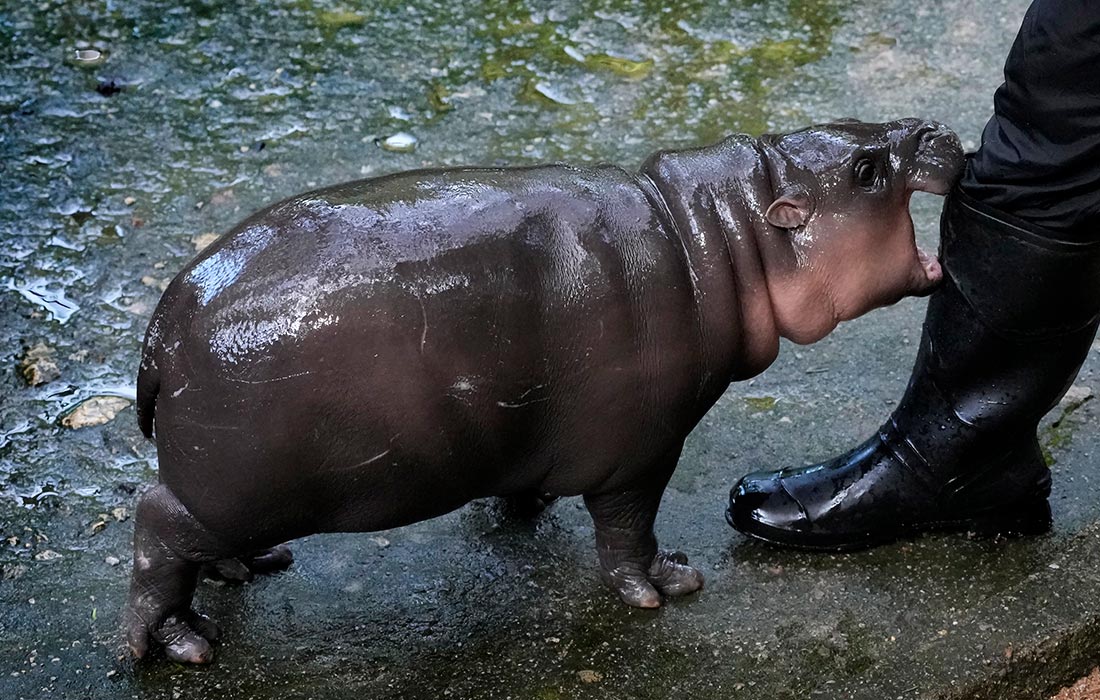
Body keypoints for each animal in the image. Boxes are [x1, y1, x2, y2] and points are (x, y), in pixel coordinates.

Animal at [122, 118, 963, 660]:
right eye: (866, 170)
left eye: (855, 127)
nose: (934, 127)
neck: (722, 234)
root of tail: (167, 323)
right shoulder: (645, 448)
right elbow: (628, 529)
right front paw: (667, 585)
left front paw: (524, 508)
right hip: (228, 486)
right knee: (156, 528)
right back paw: (178, 646)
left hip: (232, 492)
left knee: (197, 544)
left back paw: (246, 569)